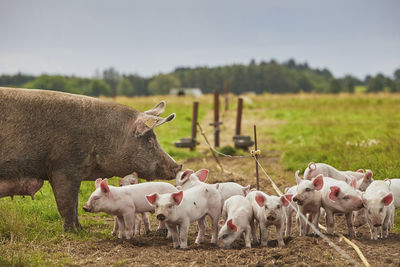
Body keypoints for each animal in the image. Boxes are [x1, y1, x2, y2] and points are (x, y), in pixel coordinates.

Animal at [0, 88, 181, 232]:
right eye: (149, 140)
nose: (178, 166)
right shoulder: (64, 168)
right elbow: (67, 203)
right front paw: (73, 232)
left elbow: (74, 203)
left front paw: (81, 229)